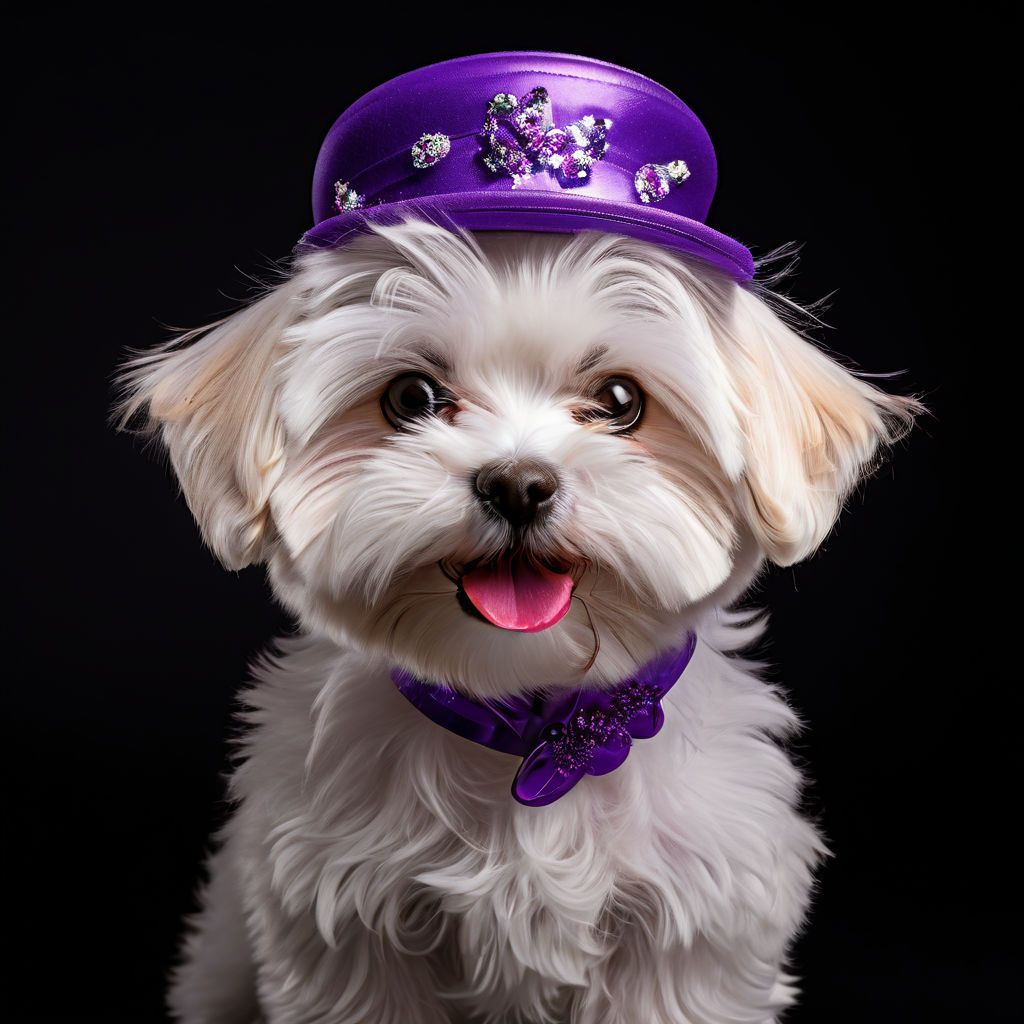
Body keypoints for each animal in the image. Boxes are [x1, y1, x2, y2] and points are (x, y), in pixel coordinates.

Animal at [116, 51, 925, 1024]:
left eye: (619, 401)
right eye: (412, 398)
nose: (517, 482)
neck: (528, 720)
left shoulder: (692, 935)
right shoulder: (347, 934)